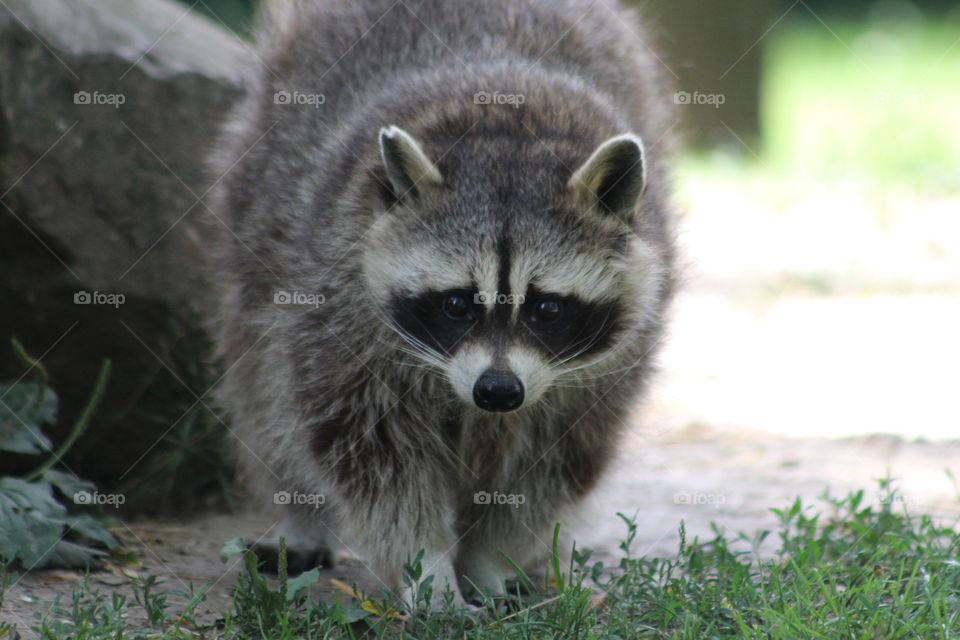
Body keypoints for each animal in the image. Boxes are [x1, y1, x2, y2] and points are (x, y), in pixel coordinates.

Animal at [208, 0, 675, 608]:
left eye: (547, 309)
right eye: (457, 304)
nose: (497, 391)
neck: (509, 122)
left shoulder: (609, 367)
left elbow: (557, 457)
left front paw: (488, 559)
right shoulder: (336, 301)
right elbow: (369, 451)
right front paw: (427, 572)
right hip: (258, 198)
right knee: (261, 383)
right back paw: (299, 514)